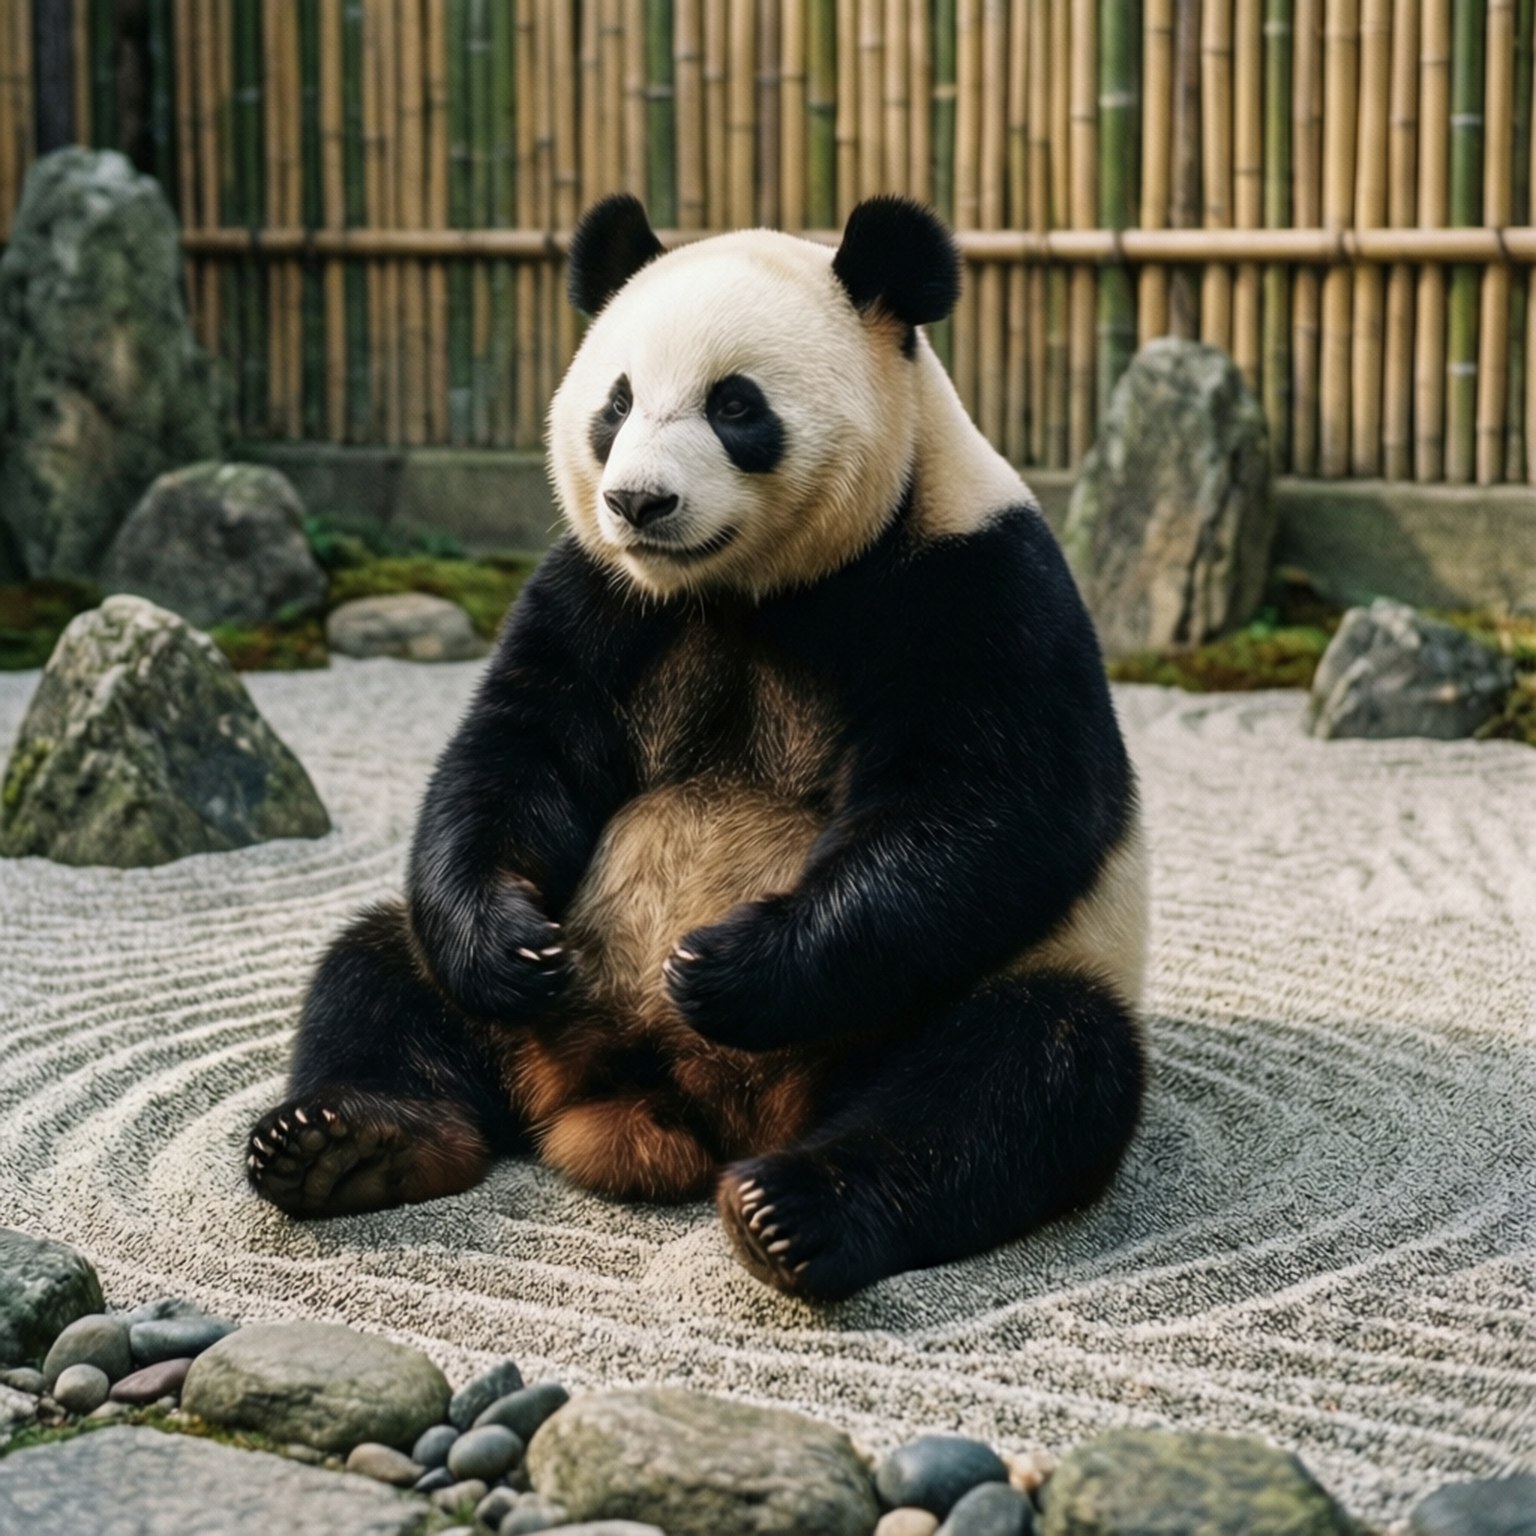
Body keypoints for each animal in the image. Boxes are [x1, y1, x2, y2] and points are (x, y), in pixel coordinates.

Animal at [246, 194, 1148, 1301]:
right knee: (377, 971)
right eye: (617, 401)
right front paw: (508, 943)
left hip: (943, 1006)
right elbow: (515, 751)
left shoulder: (976, 581)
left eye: (736, 405)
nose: (639, 501)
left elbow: (993, 807)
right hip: (544, 1005)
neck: (745, 590)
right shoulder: (598, 591)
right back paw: (347, 1143)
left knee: (1020, 1072)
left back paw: (793, 1211)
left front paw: (727, 967)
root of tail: (666, 1099)